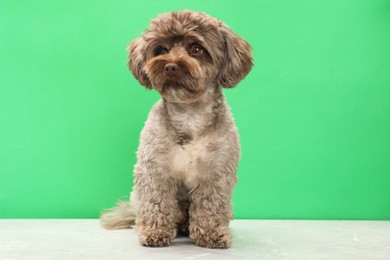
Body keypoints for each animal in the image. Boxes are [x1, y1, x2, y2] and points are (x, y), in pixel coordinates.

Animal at [100, 10, 253, 249]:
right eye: (161, 50)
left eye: (197, 49)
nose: (170, 66)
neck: (189, 116)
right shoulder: (155, 169)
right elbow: (156, 202)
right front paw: (155, 232)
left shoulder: (216, 172)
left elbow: (211, 205)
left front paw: (211, 234)